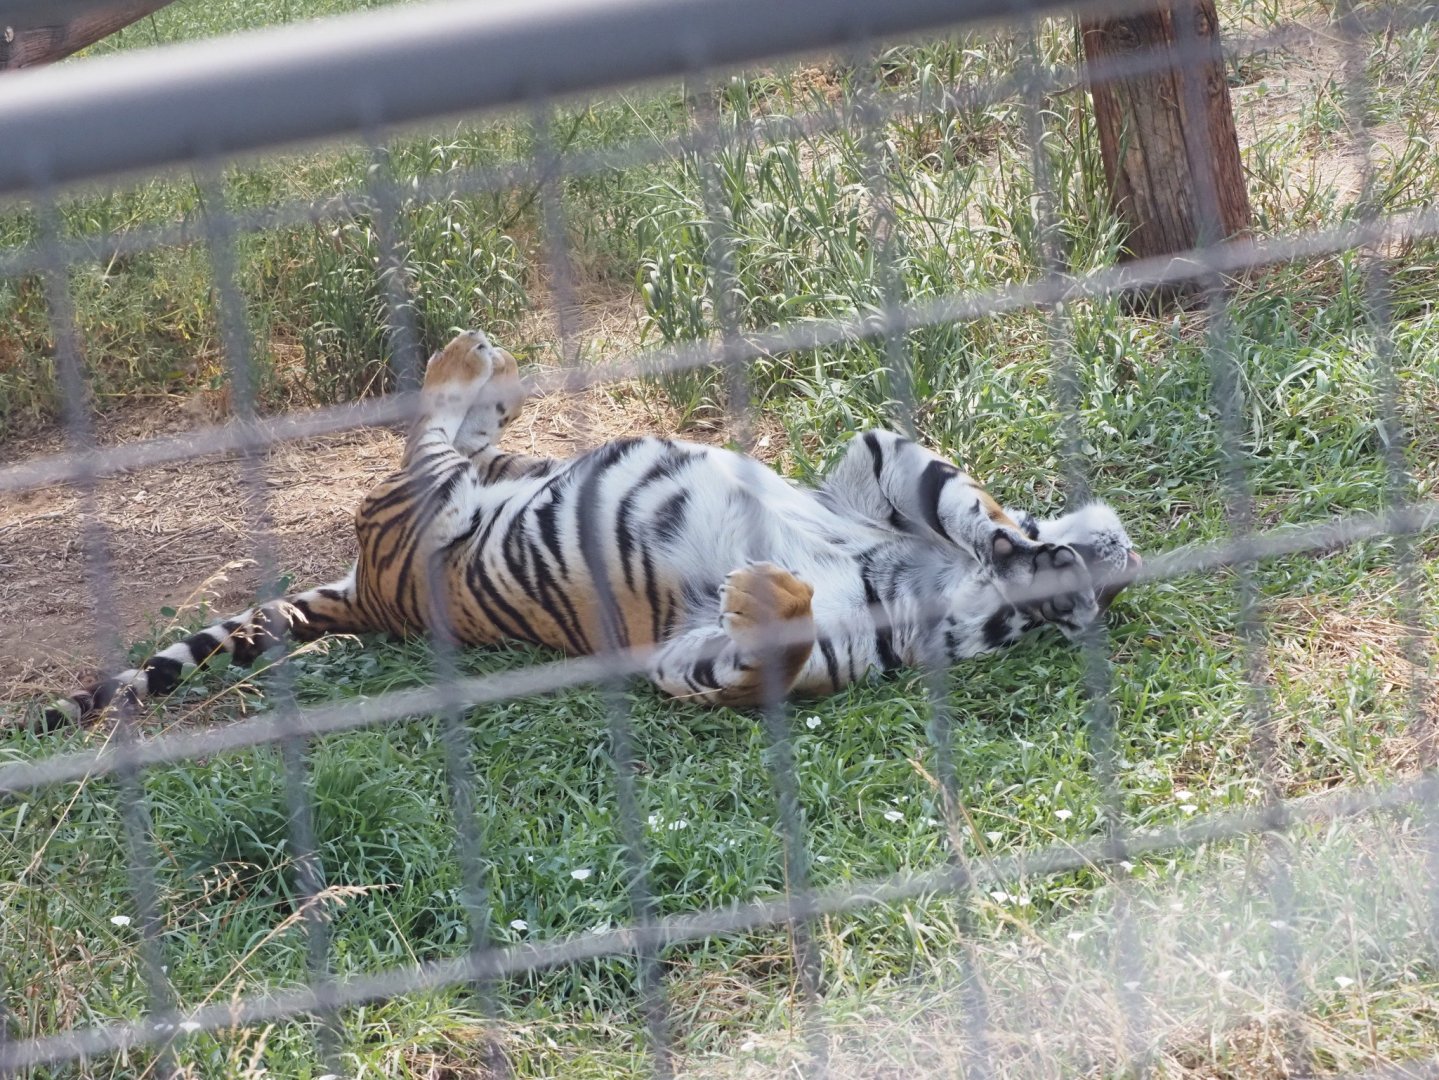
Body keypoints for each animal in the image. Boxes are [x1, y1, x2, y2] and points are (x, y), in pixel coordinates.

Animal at [45, 328, 1141, 727]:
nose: (1109, 559)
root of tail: (365, 587)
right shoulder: (875, 462)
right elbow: (965, 503)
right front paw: (1024, 543)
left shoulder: (694, 663)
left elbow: (756, 657)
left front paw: (763, 594)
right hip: (441, 500)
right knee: (434, 431)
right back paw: (470, 355)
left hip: (440, 510)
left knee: (441, 451)